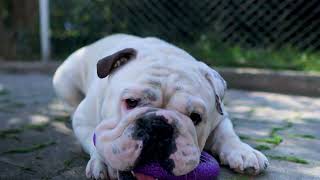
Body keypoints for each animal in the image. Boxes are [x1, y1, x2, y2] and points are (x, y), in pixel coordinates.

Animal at [52, 33, 268, 179]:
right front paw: (103, 162)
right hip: (64, 81)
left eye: (196, 117)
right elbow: (94, 138)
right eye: (131, 102)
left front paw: (244, 152)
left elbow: (227, 134)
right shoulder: (84, 119)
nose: (159, 127)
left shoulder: (220, 116)